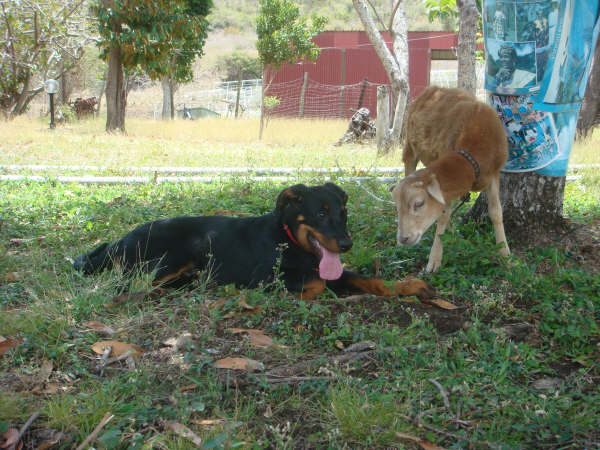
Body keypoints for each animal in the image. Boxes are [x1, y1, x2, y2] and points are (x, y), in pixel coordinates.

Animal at [74, 181, 432, 300]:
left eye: (343, 213)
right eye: (320, 213)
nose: (346, 245)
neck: (289, 240)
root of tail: (120, 240)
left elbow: (370, 279)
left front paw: (410, 286)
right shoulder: (266, 278)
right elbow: (317, 283)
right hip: (180, 254)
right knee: (128, 285)